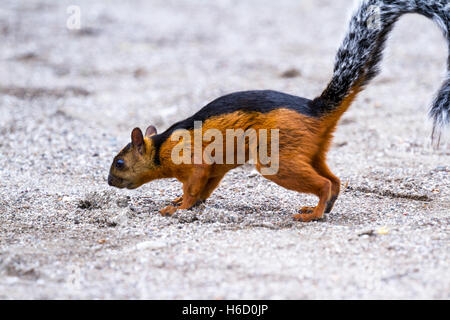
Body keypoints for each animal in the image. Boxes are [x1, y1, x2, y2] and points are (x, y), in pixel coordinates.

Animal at [107, 0, 448, 221]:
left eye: (120, 161)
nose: (109, 182)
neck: (161, 146)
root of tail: (315, 110)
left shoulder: (195, 160)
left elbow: (195, 185)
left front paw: (176, 207)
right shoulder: (215, 169)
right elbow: (203, 189)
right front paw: (182, 202)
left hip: (278, 158)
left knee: (324, 183)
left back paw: (313, 214)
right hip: (310, 151)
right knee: (334, 179)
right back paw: (325, 207)